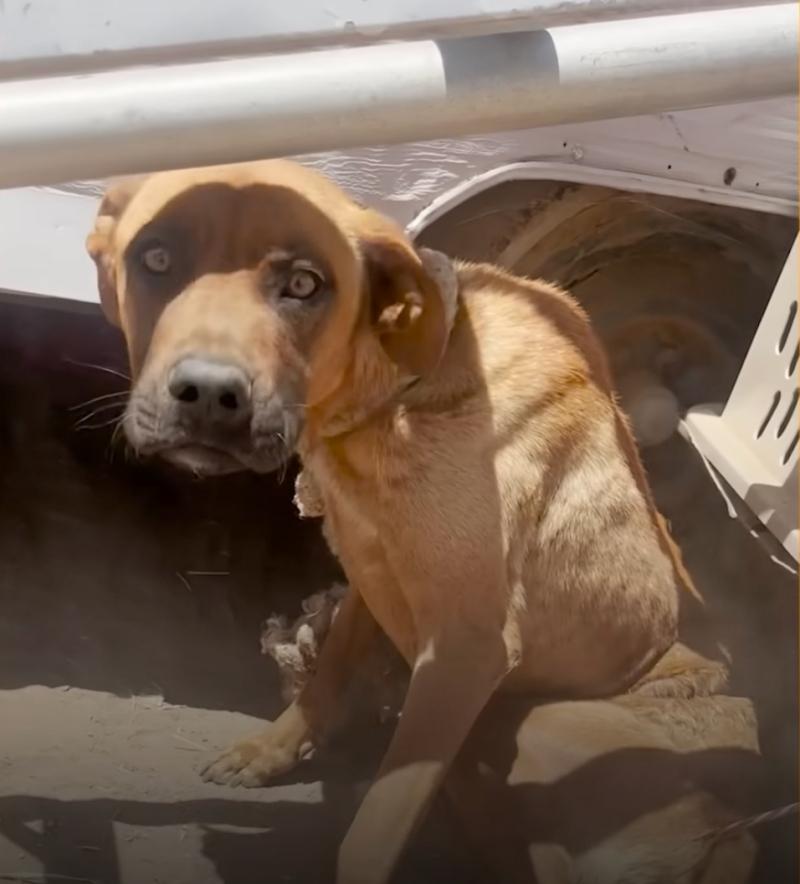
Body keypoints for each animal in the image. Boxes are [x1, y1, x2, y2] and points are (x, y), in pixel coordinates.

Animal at [89, 161, 732, 884]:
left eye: (305, 284)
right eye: (156, 259)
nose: (207, 396)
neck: (393, 399)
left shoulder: (466, 652)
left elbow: (376, 824)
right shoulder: (371, 571)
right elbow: (332, 668)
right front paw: (273, 748)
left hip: (551, 721)